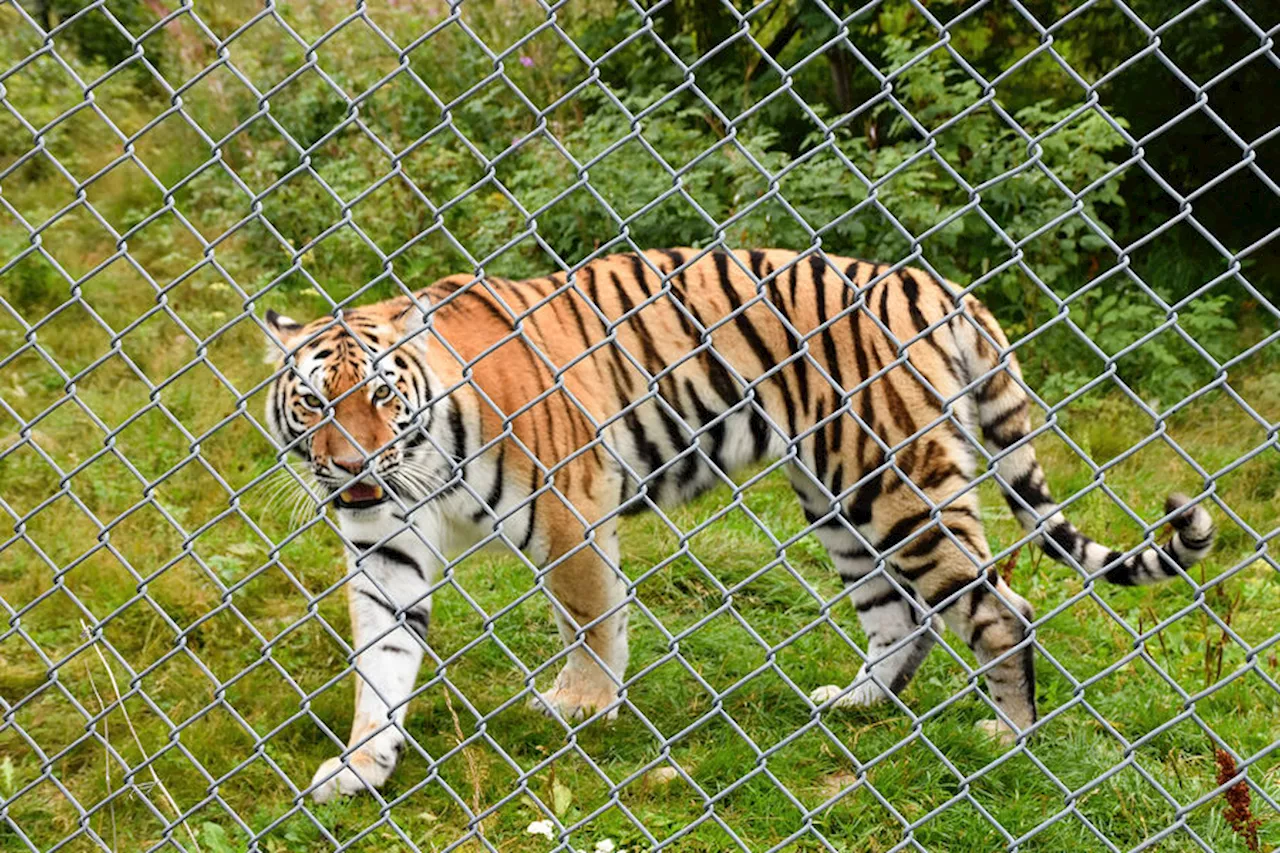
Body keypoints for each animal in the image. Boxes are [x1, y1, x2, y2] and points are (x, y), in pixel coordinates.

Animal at [264, 244, 1213, 799]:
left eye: (381, 396)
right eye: (313, 402)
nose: (349, 467)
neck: (416, 462)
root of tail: (941, 284)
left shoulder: (572, 508)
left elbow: (590, 614)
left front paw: (583, 705)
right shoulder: (385, 547)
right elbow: (381, 662)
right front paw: (362, 765)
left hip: (891, 479)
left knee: (999, 607)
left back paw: (1009, 736)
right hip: (838, 496)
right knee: (900, 613)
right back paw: (857, 702)